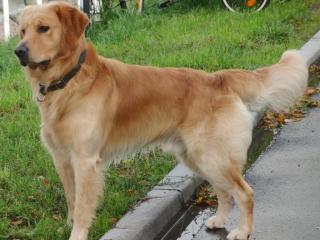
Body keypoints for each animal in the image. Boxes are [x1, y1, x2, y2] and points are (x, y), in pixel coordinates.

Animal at [14, 1, 308, 240]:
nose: (18, 51)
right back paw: (219, 220)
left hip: (211, 156)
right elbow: (71, 200)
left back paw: (243, 231)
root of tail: (217, 78)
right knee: (225, 192)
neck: (69, 81)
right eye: (22, 31)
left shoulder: (85, 161)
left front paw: (77, 233)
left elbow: (83, 207)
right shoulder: (62, 159)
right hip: (197, 158)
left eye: (43, 28)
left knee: (244, 192)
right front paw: (67, 224)